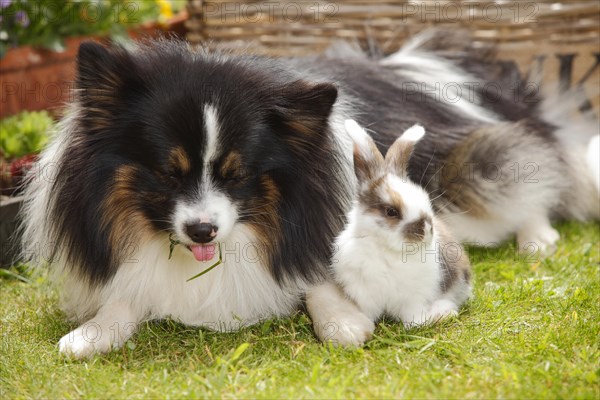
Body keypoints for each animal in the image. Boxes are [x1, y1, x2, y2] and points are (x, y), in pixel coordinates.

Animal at [332, 120, 474, 326]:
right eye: (392, 212)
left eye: (425, 199)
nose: (427, 230)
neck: (388, 251)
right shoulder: (364, 294)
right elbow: (368, 313)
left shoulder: (413, 299)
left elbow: (412, 316)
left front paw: (419, 323)